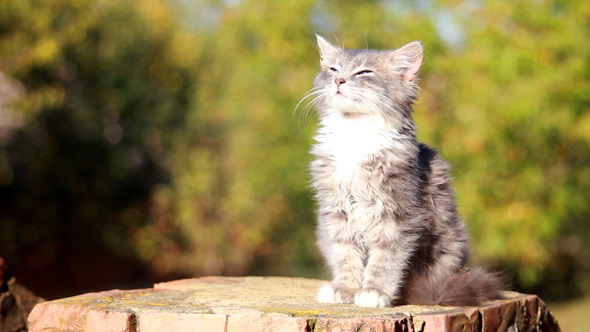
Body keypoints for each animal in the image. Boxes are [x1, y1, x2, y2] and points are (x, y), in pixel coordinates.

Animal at [306, 35, 504, 308]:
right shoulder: (336, 211)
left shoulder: (399, 212)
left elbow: (385, 258)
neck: (355, 132)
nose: (338, 80)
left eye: (364, 72)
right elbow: (345, 253)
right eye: (333, 69)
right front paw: (345, 288)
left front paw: (373, 292)